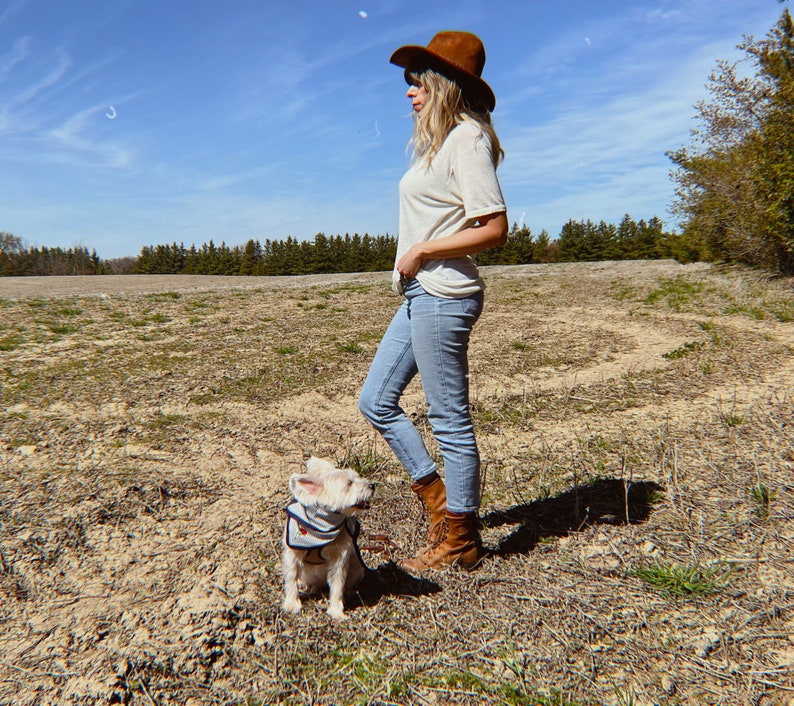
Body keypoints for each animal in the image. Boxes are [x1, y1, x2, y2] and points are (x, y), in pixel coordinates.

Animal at [282, 456, 374, 616]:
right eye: (349, 483)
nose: (372, 485)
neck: (323, 524)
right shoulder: (292, 553)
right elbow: (291, 577)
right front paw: (292, 604)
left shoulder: (340, 557)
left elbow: (337, 584)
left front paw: (336, 611)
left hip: (357, 567)